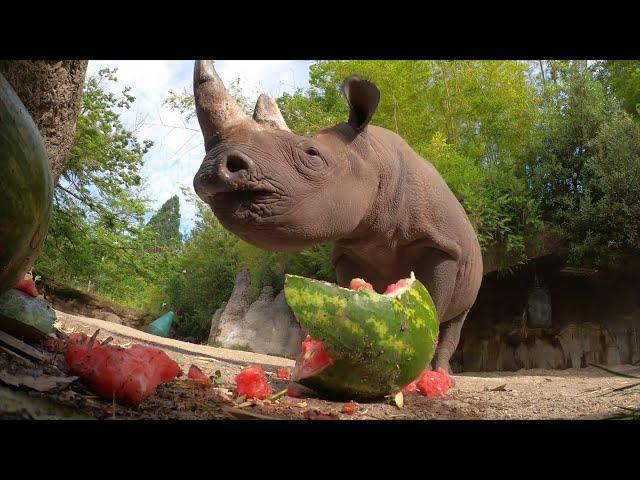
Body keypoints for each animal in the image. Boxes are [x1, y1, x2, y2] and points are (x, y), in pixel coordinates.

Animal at [192, 60, 482, 372]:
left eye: (312, 154)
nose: (212, 170)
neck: (376, 161)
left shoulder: (441, 245)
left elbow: (435, 306)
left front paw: (423, 373)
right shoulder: (348, 250)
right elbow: (350, 293)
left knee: (456, 319)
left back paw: (442, 371)